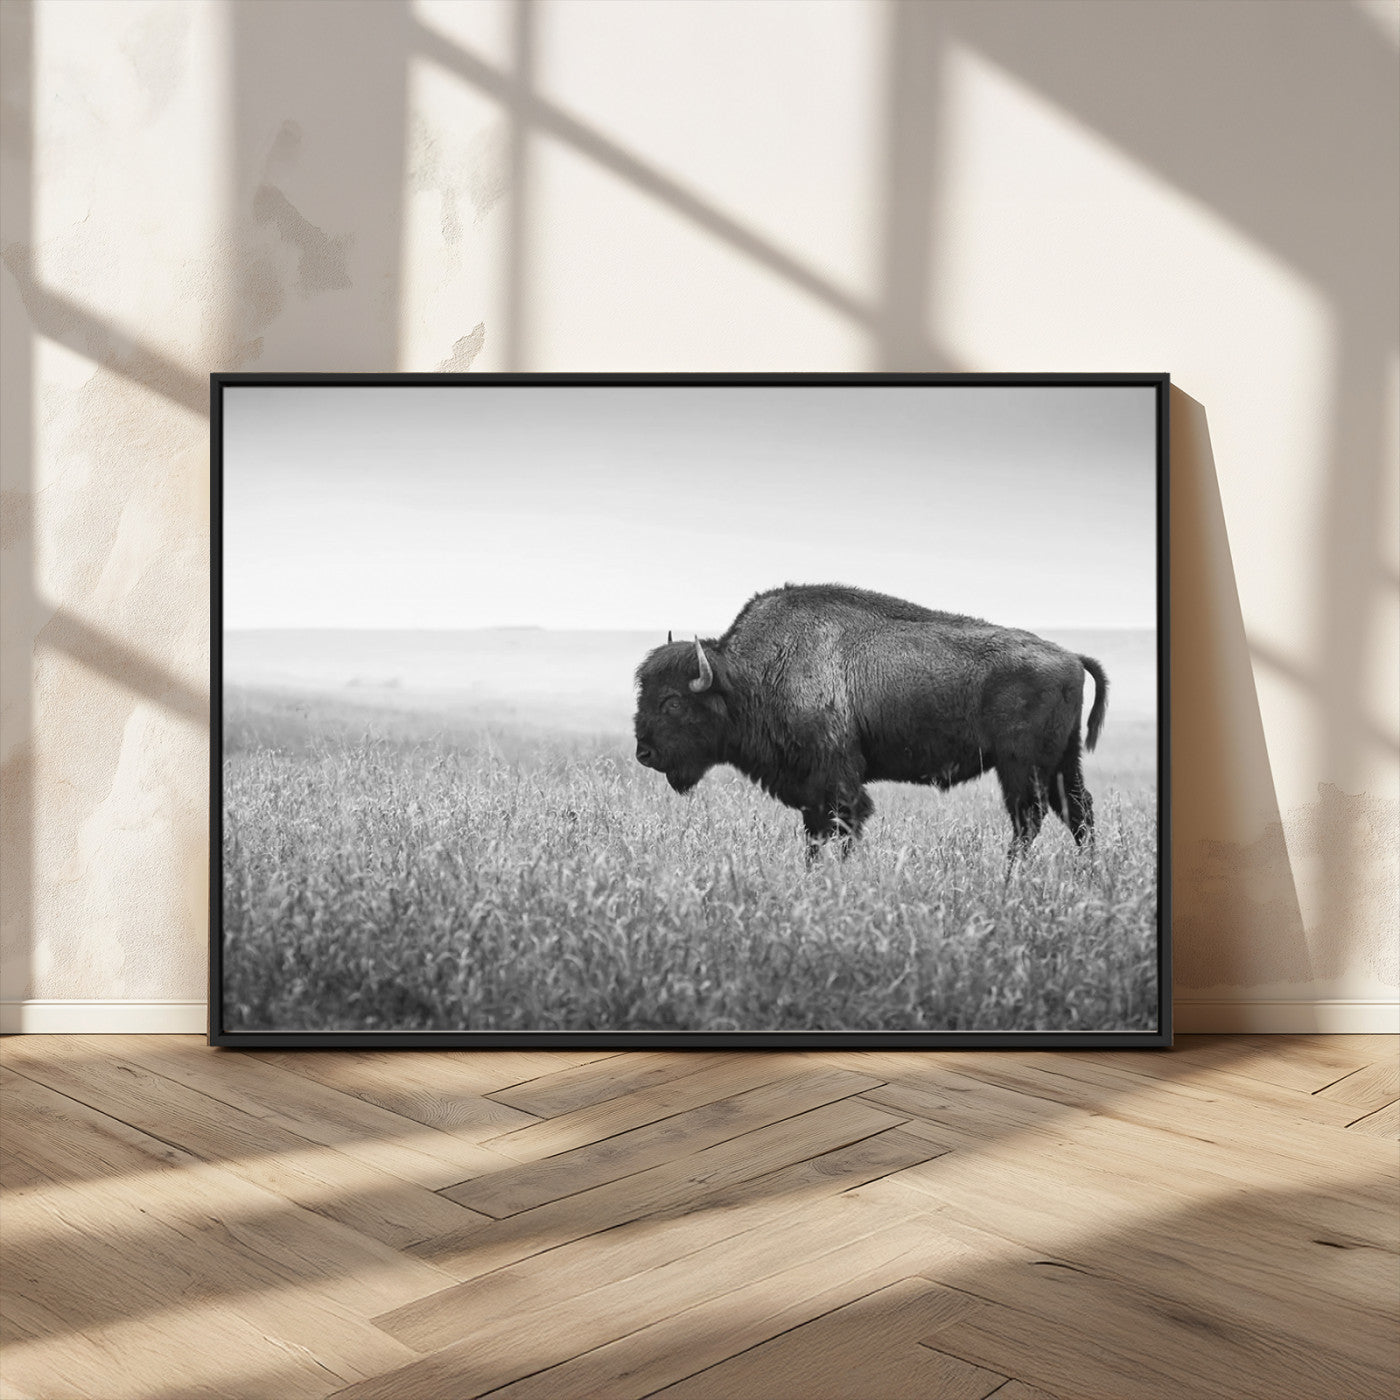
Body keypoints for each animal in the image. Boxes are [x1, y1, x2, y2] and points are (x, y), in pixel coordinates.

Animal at [633, 583, 1108, 860]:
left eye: (672, 702)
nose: (644, 753)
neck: (749, 676)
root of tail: (1070, 657)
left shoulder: (836, 781)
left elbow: (843, 827)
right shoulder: (811, 791)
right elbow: (815, 835)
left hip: (1021, 766)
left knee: (1030, 819)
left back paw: (1011, 875)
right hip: (1062, 763)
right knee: (1078, 813)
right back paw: (1087, 874)